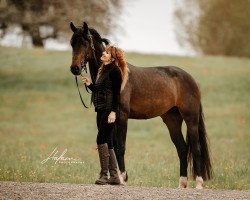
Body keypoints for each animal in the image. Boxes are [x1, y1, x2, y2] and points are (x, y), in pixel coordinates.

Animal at [69, 22, 212, 189]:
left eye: (85, 43)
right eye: (72, 43)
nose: (75, 68)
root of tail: (191, 79)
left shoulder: (122, 117)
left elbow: (120, 147)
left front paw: (122, 178)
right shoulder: (106, 119)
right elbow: (109, 145)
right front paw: (112, 178)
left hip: (191, 119)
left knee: (196, 148)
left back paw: (199, 183)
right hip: (172, 119)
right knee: (182, 148)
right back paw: (182, 183)